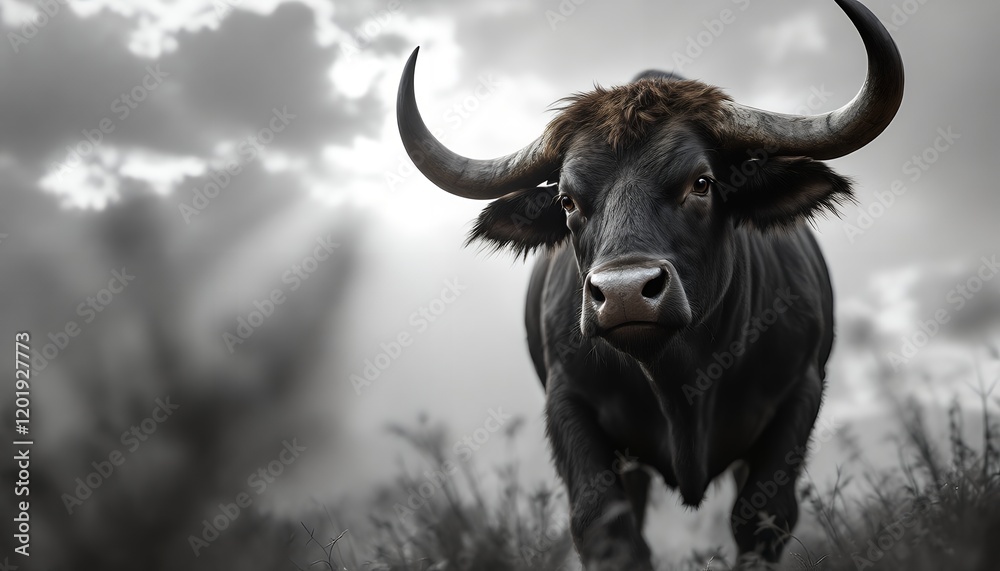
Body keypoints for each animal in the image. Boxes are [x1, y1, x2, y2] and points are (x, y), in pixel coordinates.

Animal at [395, 0, 903, 568]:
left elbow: (761, 517)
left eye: (701, 183)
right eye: (567, 200)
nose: (623, 294)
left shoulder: (800, 393)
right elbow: (607, 529)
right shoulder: (569, 405)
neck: (680, 384)